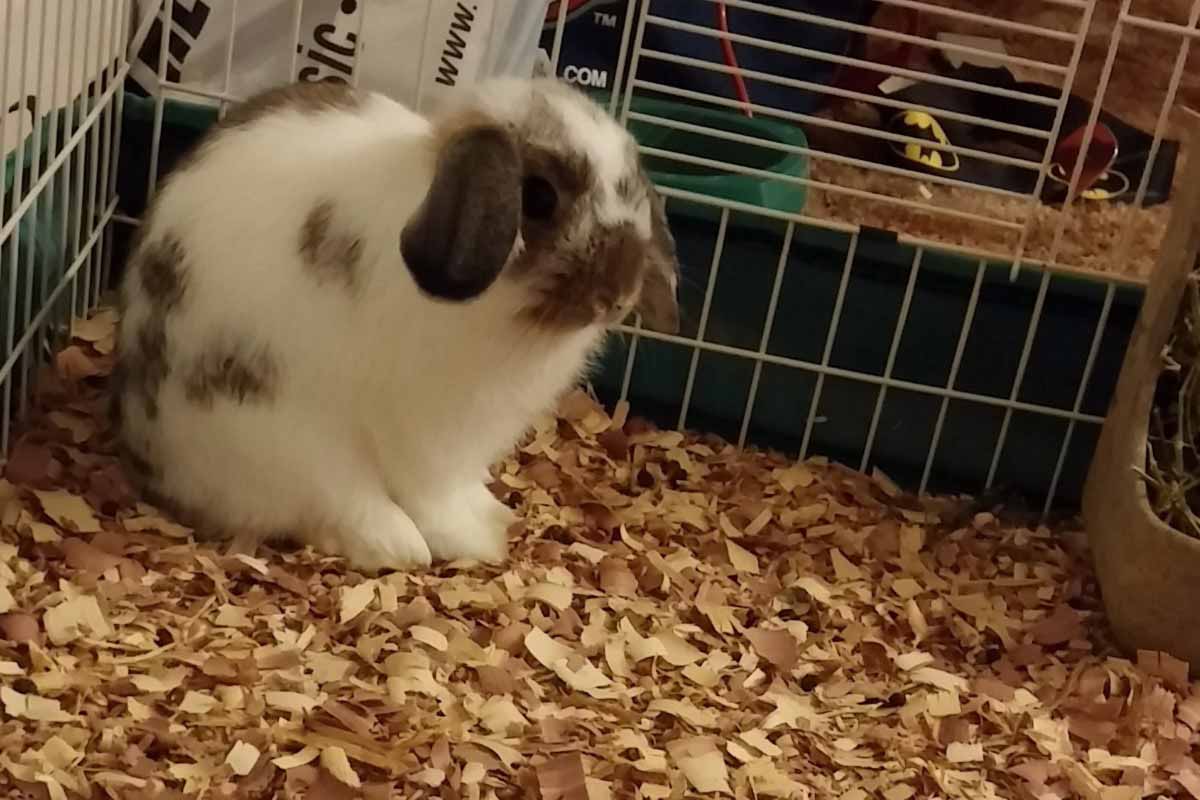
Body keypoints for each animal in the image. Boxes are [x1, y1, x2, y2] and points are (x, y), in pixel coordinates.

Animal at [115, 77, 681, 573]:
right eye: (539, 197)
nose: (616, 297)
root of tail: (151, 455)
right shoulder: (428, 436)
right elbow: (432, 498)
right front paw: (477, 540)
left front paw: (494, 516)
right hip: (283, 437)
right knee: (338, 503)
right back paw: (401, 545)